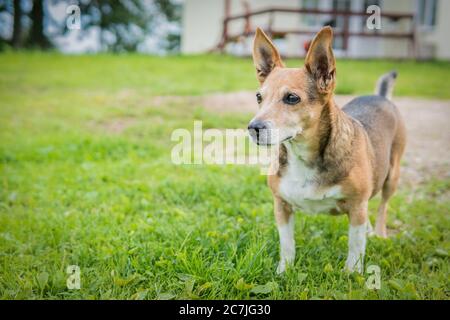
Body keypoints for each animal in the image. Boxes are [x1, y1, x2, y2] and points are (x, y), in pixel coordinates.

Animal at [248, 26, 406, 274]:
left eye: (292, 98)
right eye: (258, 97)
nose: (253, 128)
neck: (302, 156)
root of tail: (379, 96)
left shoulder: (356, 206)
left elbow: (355, 245)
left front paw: (352, 274)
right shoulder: (281, 205)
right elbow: (287, 243)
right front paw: (284, 270)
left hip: (392, 177)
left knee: (382, 207)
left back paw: (380, 234)